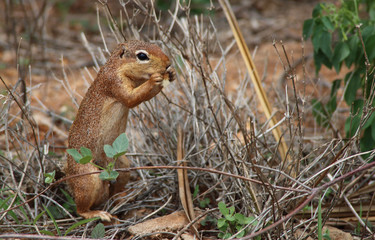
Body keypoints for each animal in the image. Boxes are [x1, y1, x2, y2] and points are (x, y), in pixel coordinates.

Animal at [66, 40, 176, 221]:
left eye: (157, 46)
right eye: (142, 56)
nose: (168, 63)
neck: (116, 66)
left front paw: (171, 73)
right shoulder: (114, 82)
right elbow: (132, 98)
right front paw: (154, 80)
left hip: (123, 167)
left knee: (112, 191)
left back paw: (120, 198)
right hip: (88, 178)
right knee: (80, 209)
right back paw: (97, 214)